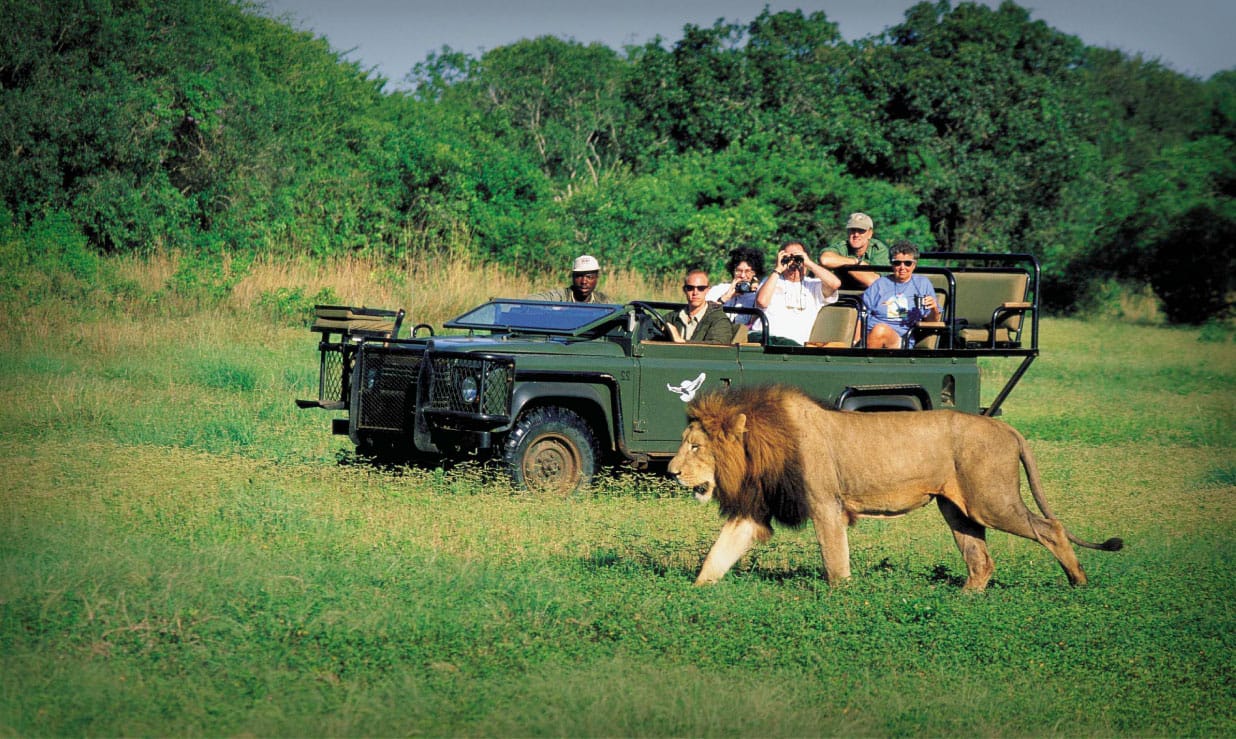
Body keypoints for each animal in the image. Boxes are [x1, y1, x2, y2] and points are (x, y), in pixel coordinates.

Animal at [672, 388, 1127, 590]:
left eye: (695, 446)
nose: (673, 471)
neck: (761, 449)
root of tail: (1007, 428)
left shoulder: (826, 504)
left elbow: (835, 561)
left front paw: (842, 598)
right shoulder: (754, 510)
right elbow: (718, 554)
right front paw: (695, 594)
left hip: (991, 502)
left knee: (1052, 527)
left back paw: (1078, 582)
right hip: (958, 509)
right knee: (981, 559)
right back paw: (963, 599)